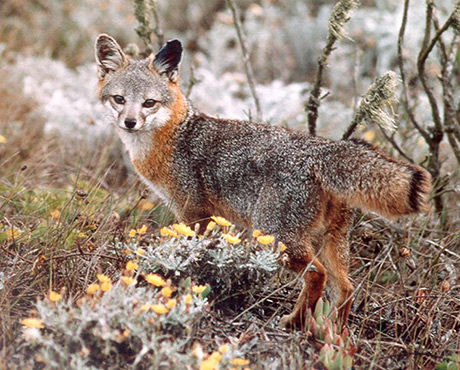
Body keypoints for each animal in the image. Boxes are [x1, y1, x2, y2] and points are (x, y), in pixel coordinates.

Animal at [93, 34, 432, 328]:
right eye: (119, 99)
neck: (174, 136)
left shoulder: (193, 213)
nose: (130, 122)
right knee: (346, 288)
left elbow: (191, 252)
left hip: (277, 236)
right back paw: (333, 333)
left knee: (317, 276)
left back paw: (294, 322)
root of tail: (322, 148)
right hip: (329, 242)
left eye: (149, 103)